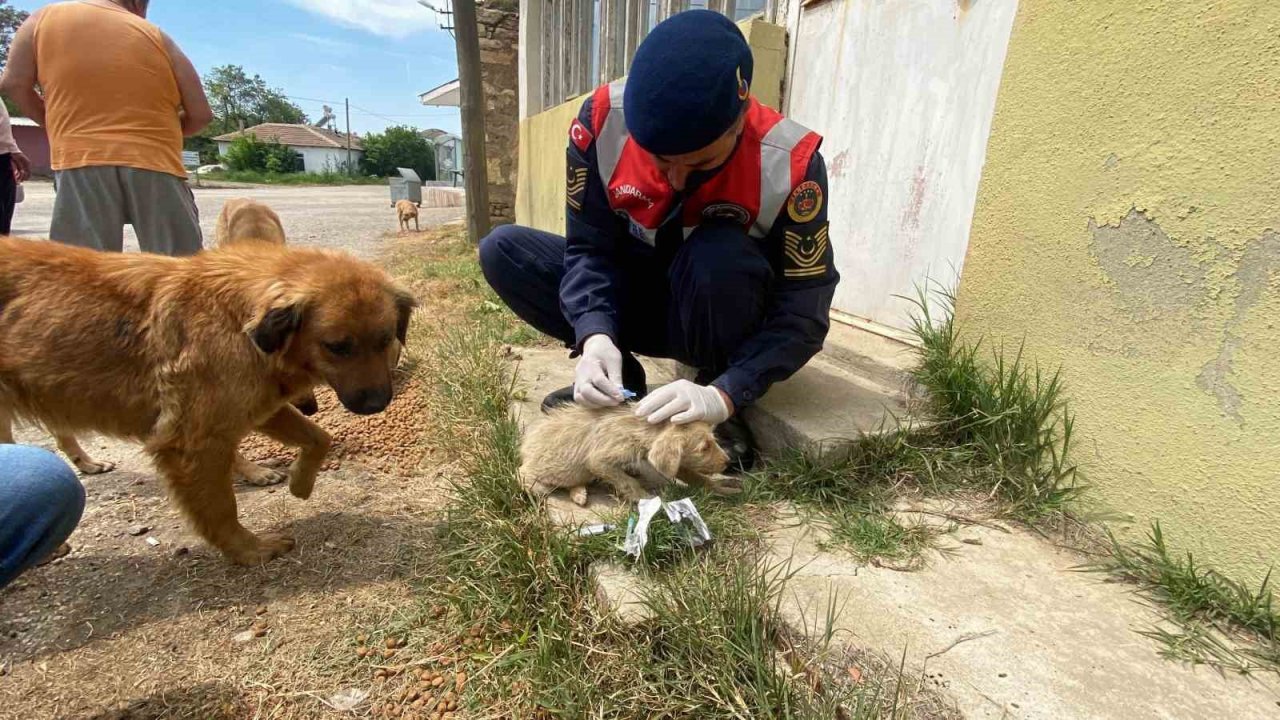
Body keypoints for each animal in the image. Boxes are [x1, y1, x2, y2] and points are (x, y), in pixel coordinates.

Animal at [0, 235, 417, 561]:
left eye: (385, 340)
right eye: (336, 347)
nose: (377, 404)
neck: (235, 319)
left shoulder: (256, 403)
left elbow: (319, 437)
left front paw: (300, 484)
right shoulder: (191, 439)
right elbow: (220, 509)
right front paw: (249, 550)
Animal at [517, 399, 732, 502]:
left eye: (713, 440)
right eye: (704, 448)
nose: (727, 462)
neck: (643, 427)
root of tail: (525, 450)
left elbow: (695, 475)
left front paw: (719, 488)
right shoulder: (599, 460)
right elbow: (627, 482)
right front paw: (646, 498)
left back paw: (580, 493)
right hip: (554, 471)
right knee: (523, 474)